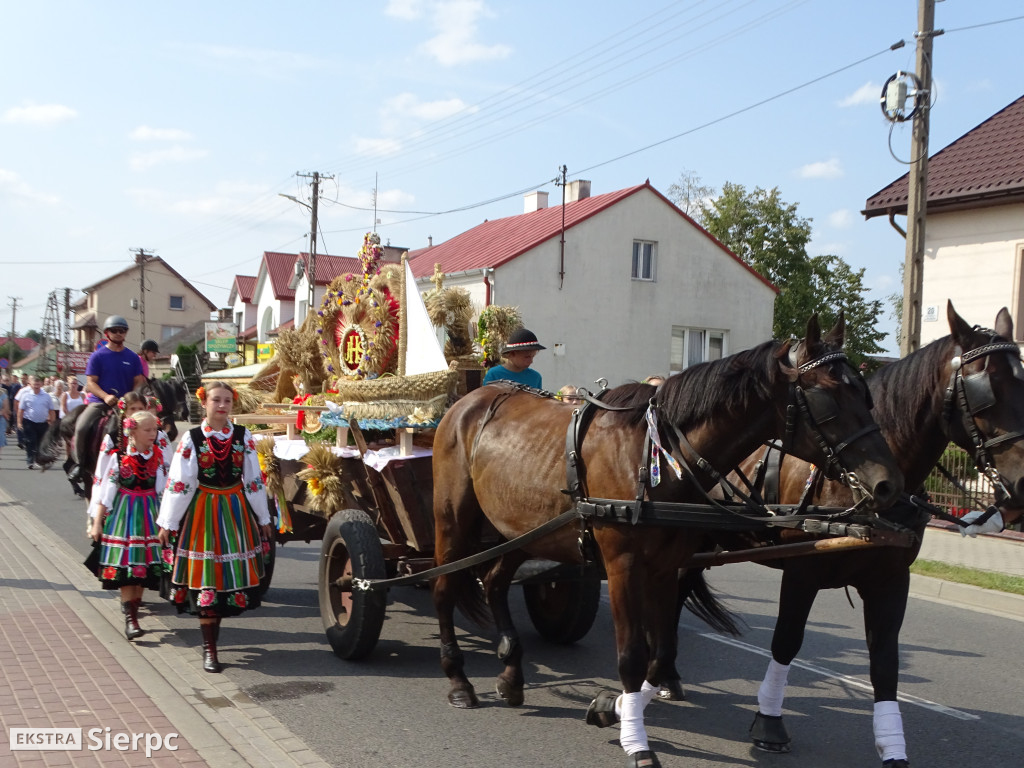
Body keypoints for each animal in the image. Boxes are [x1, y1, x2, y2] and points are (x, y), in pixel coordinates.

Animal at [432, 313, 905, 768]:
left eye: (865, 395)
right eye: (827, 399)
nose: (888, 485)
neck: (656, 455)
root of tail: (472, 399)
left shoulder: (663, 567)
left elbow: (657, 655)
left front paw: (613, 706)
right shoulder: (622, 566)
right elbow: (632, 657)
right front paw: (636, 743)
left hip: (521, 532)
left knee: (494, 581)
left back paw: (511, 672)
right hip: (453, 522)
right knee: (444, 588)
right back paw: (458, 679)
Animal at [655, 303, 1024, 768]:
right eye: (986, 389)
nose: (1023, 485)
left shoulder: (890, 581)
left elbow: (885, 664)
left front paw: (893, 748)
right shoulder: (802, 573)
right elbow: (786, 641)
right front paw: (769, 721)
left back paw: (666, 672)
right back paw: (661, 672)